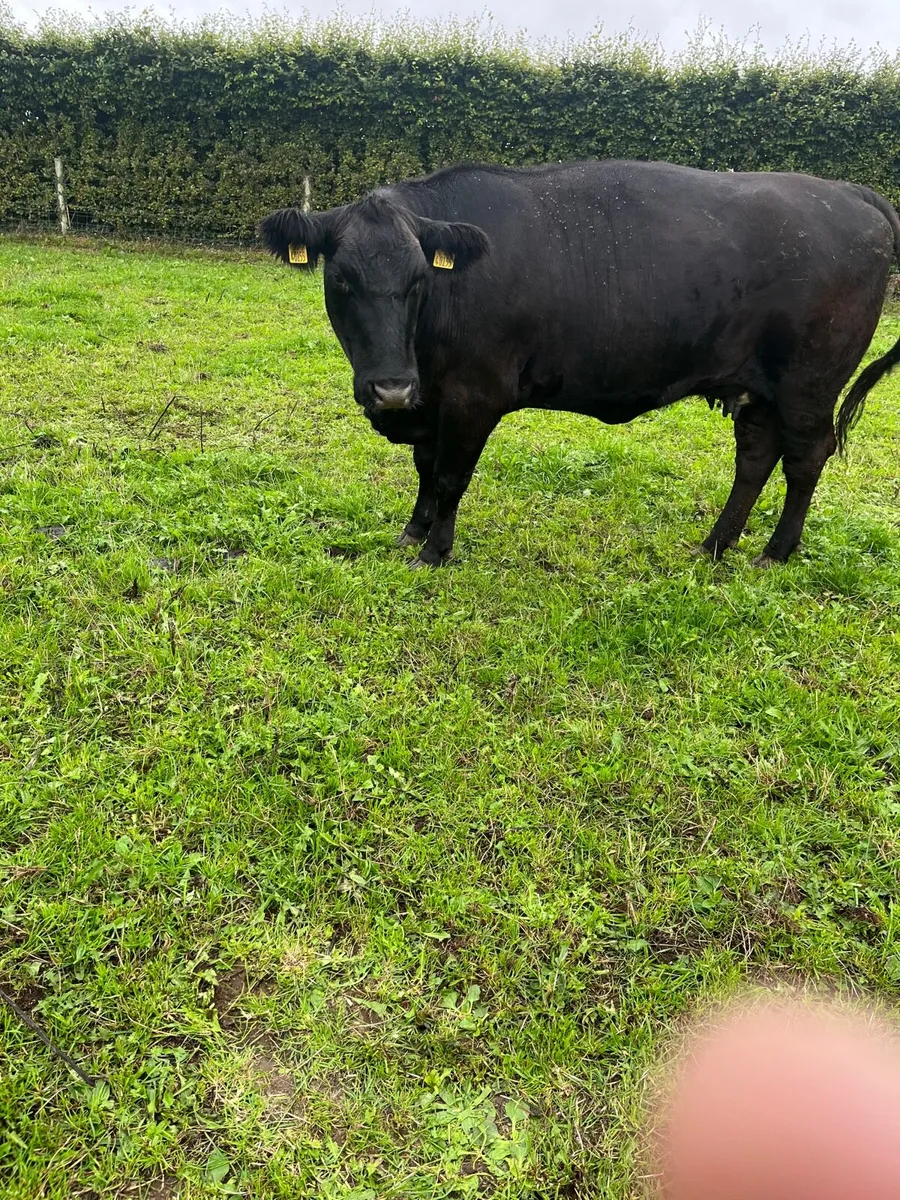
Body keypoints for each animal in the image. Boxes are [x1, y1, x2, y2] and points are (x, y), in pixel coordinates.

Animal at [260, 161, 900, 568]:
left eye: (419, 280)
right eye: (341, 279)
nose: (390, 388)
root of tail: (849, 192)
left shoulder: (472, 395)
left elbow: (449, 475)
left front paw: (435, 551)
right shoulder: (430, 396)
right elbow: (424, 468)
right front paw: (413, 531)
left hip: (808, 384)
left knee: (805, 459)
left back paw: (775, 552)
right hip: (757, 387)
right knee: (756, 457)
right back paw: (715, 545)